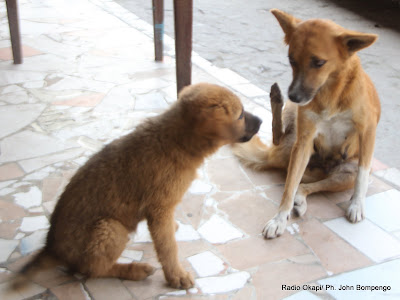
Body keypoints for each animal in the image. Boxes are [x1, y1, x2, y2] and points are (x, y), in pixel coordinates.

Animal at [13, 82, 262, 288]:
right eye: (240, 115)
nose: (261, 121)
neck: (176, 142)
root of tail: (50, 248)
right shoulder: (159, 208)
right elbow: (168, 248)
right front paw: (176, 276)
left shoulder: (161, 210)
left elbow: (166, 237)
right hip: (110, 228)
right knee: (93, 270)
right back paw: (134, 269)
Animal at [234, 8, 382, 239]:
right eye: (291, 59)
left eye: (319, 62)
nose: (294, 96)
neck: (331, 92)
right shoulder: (304, 141)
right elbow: (288, 189)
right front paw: (279, 219)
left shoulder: (368, 131)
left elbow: (363, 176)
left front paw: (357, 204)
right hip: (293, 137)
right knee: (283, 153)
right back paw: (276, 100)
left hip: (345, 173)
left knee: (307, 185)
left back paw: (302, 199)